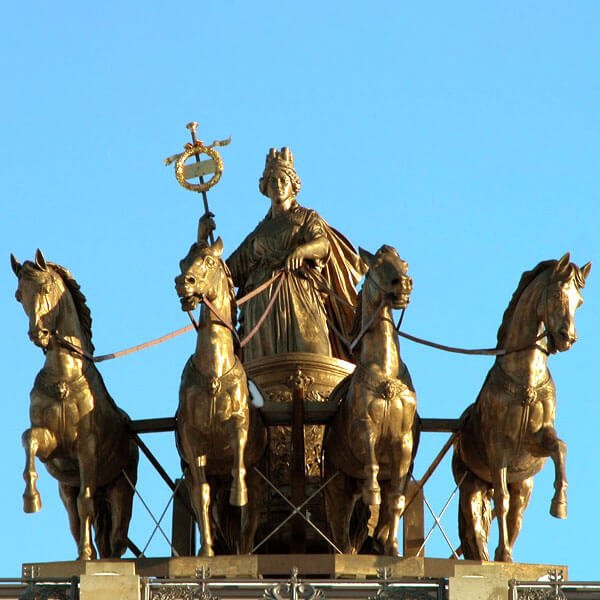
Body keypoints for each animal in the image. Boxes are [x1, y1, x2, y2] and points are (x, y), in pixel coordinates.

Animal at [11, 251, 138, 560]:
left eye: (45, 288)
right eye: (19, 295)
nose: (38, 334)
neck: (63, 378)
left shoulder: (86, 449)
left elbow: (86, 502)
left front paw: (85, 554)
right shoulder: (53, 445)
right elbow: (29, 439)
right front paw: (31, 499)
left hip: (120, 490)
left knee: (115, 537)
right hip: (66, 488)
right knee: (75, 519)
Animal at [175, 237, 266, 556]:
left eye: (210, 261)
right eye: (183, 262)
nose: (183, 283)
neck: (213, 370)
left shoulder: (238, 422)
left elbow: (238, 457)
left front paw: (238, 495)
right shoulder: (192, 438)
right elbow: (201, 494)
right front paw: (208, 551)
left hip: (257, 481)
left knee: (249, 519)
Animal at [324, 246, 418, 556]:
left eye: (404, 263)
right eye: (376, 265)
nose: (404, 284)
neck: (385, 370)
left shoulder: (403, 440)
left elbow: (396, 499)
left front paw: (392, 548)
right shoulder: (364, 427)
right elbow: (372, 462)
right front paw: (372, 491)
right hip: (338, 484)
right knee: (340, 526)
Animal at [454, 253, 592, 564]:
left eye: (579, 301)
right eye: (556, 294)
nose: (568, 338)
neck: (526, 378)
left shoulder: (535, 440)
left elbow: (560, 447)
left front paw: (559, 505)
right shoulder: (498, 449)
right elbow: (501, 501)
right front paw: (503, 552)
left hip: (524, 484)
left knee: (516, 510)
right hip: (471, 481)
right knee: (480, 514)